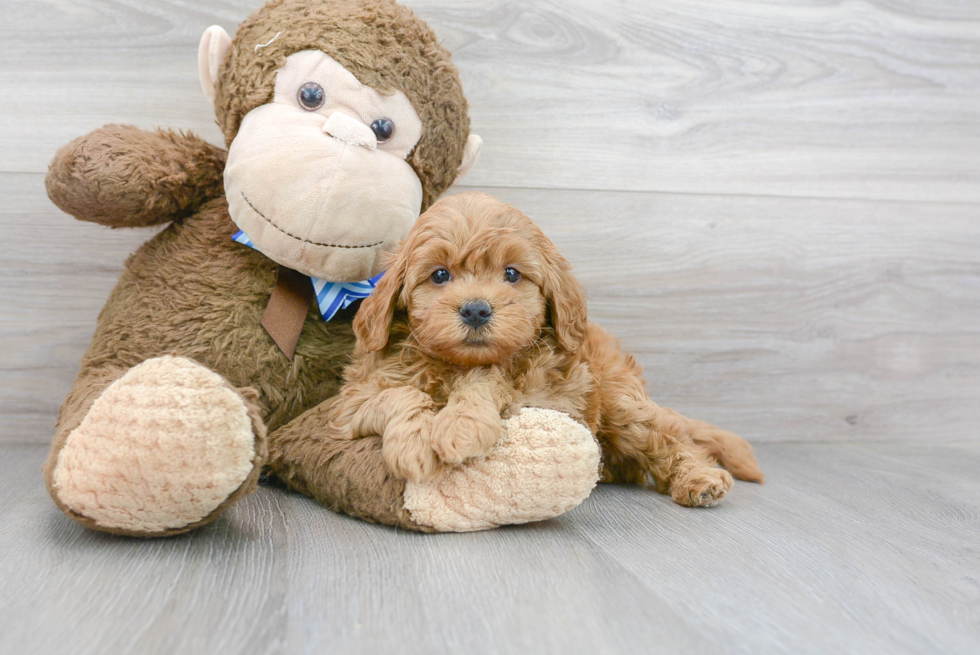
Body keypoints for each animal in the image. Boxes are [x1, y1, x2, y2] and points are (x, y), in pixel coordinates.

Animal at [334, 190, 768, 508]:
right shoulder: (348, 405)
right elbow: (398, 395)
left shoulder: (545, 395)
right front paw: (414, 445)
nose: (476, 309)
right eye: (439, 275)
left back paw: (700, 477)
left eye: (512, 273)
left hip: (621, 403)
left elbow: (487, 381)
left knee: (672, 439)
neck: (457, 363)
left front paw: (461, 424)